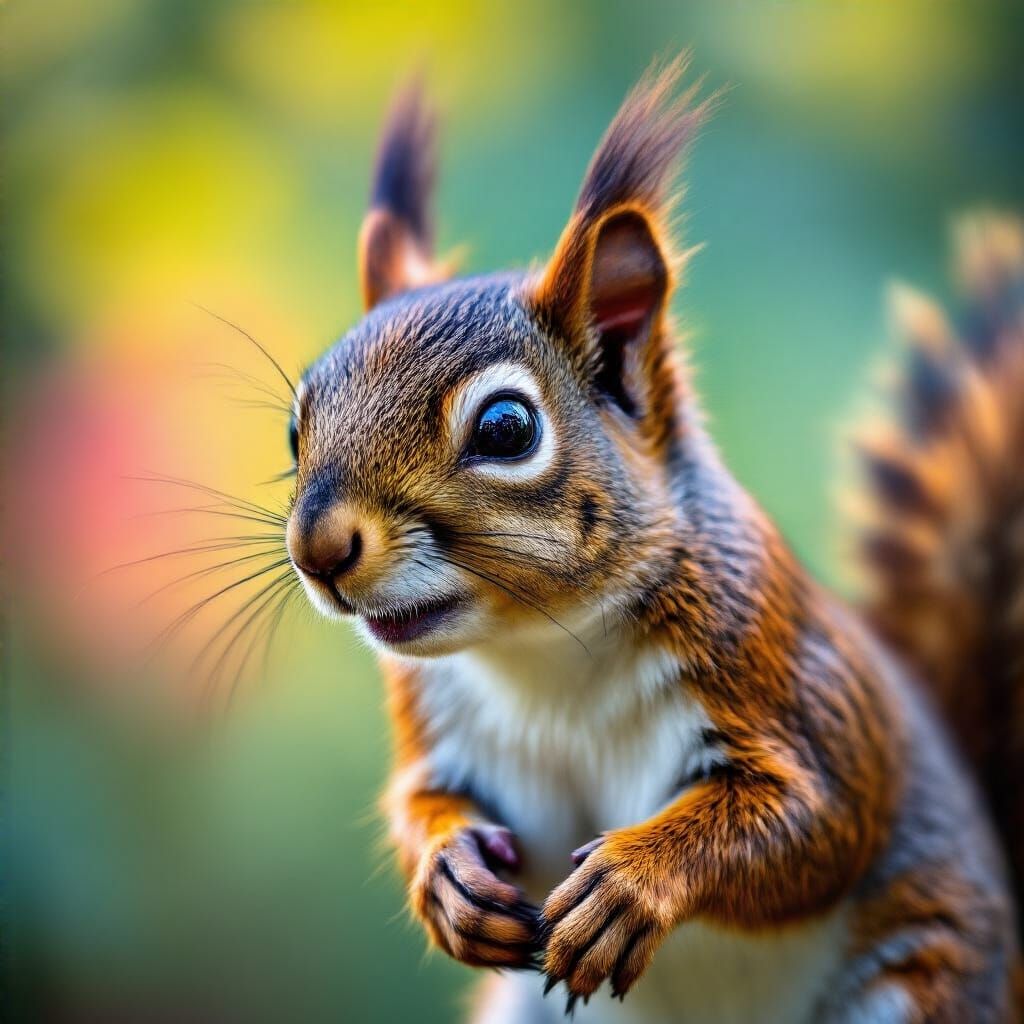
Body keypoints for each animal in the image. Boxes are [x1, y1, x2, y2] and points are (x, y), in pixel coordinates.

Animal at [283, 58, 1023, 1022]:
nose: (317, 550)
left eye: (507, 428)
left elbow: (814, 819)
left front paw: (633, 881)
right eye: (295, 428)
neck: (544, 657)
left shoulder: (788, 680)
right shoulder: (437, 724)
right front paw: (445, 871)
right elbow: (421, 799)